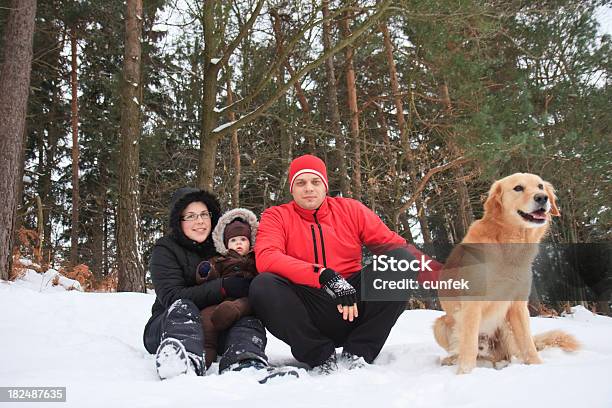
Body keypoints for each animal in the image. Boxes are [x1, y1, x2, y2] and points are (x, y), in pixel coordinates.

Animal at [430, 172, 580, 372]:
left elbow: (527, 344)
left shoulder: (518, 304)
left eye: (540, 186)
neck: (510, 243)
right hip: (442, 324)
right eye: (518, 188)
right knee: (468, 350)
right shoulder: (471, 305)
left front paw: (537, 366)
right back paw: (453, 360)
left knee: (509, 353)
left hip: (506, 326)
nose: (542, 198)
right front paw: (465, 373)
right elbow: (468, 346)